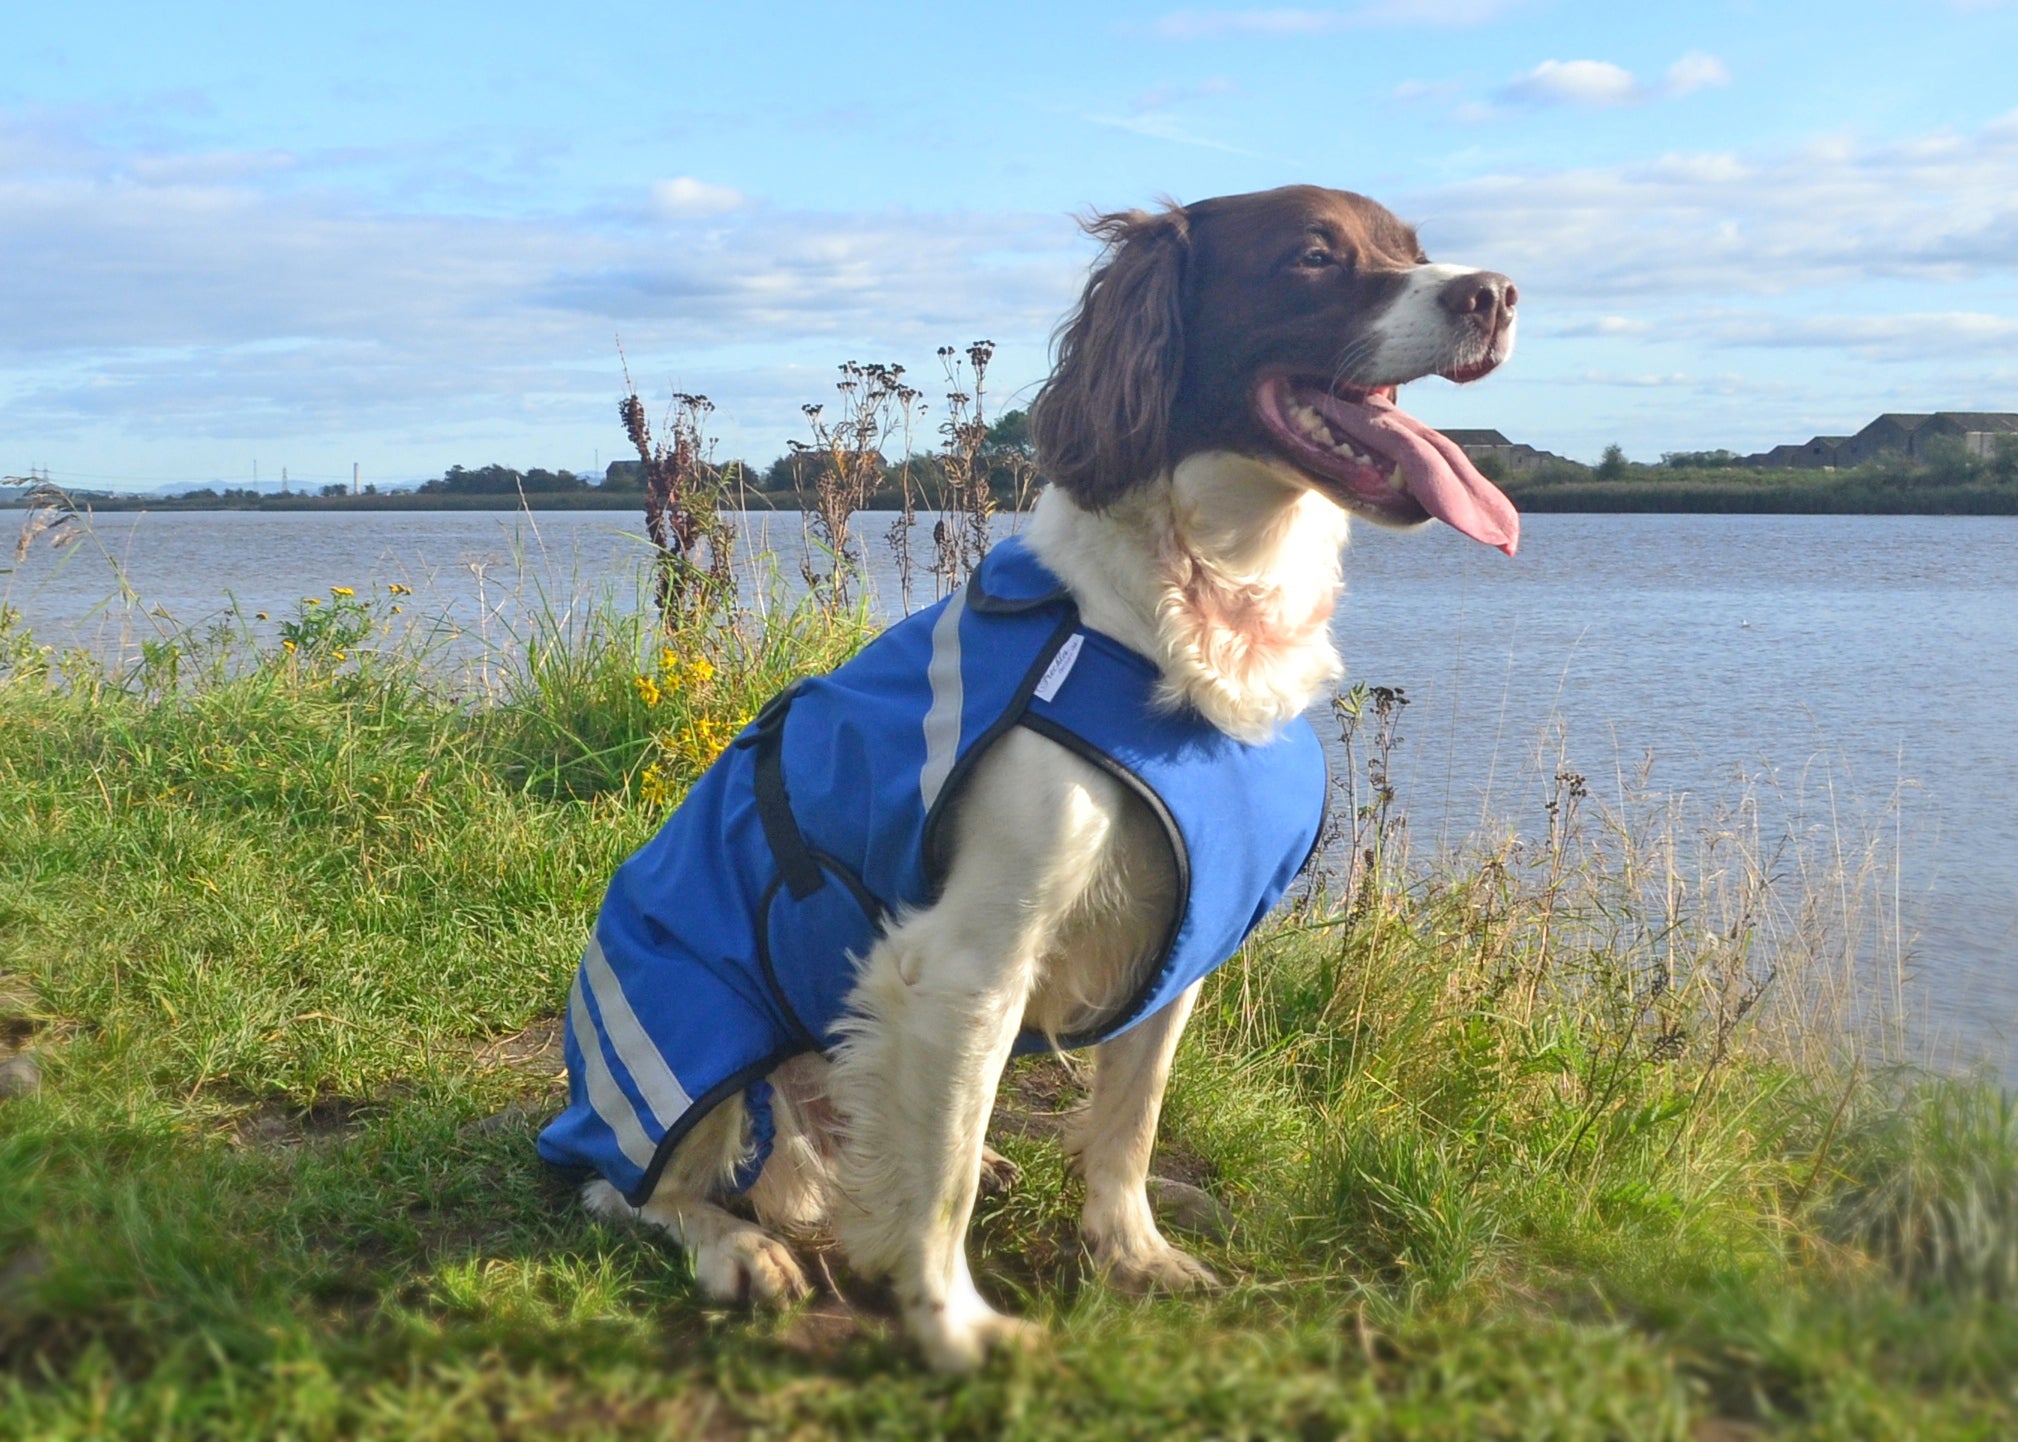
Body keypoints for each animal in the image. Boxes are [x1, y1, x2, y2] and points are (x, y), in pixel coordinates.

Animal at [536, 186, 1517, 1371]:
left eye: (1412, 249)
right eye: (1315, 257)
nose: (1495, 293)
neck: (1174, 626)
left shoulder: (1178, 948)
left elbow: (1126, 1128)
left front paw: (1131, 1253)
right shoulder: (966, 966)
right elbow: (941, 1190)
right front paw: (956, 1327)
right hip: (695, 1033)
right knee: (627, 1187)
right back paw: (736, 1247)